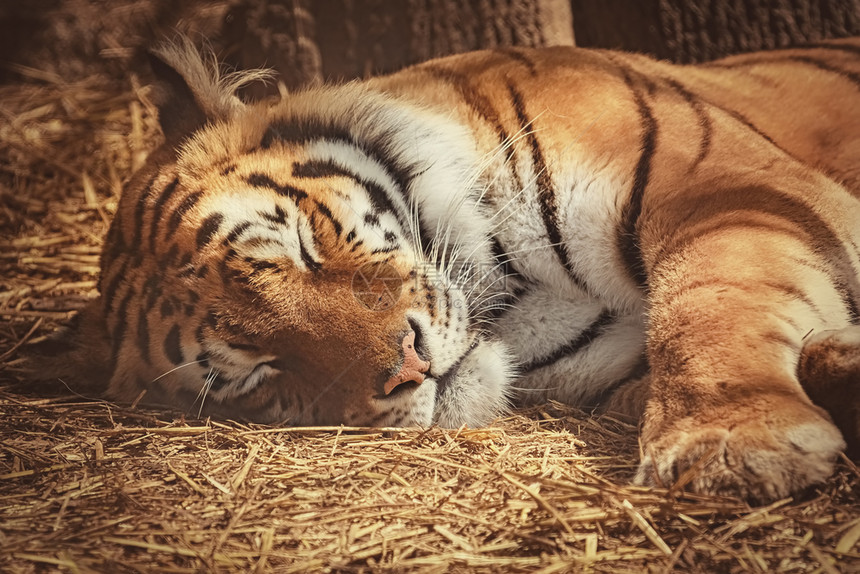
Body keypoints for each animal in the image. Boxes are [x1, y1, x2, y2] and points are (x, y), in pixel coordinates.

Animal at [33, 37, 860, 504]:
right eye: (255, 372)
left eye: (301, 245)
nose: (409, 368)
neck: (517, 288)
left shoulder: (717, 187)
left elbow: (709, 304)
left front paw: (729, 446)